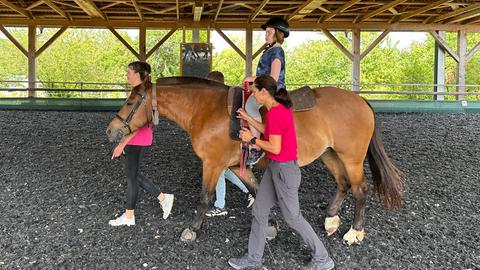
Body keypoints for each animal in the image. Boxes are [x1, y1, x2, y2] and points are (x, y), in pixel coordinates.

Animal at [107, 77, 404, 246]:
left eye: (131, 101)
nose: (111, 131)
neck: (206, 110)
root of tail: (360, 101)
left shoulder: (213, 164)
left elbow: (204, 198)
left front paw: (192, 229)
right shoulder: (235, 166)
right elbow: (256, 191)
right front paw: (271, 226)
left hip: (351, 158)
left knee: (360, 190)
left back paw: (354, 231)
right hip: (329, 154)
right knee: (342, 184)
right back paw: (331, 219)